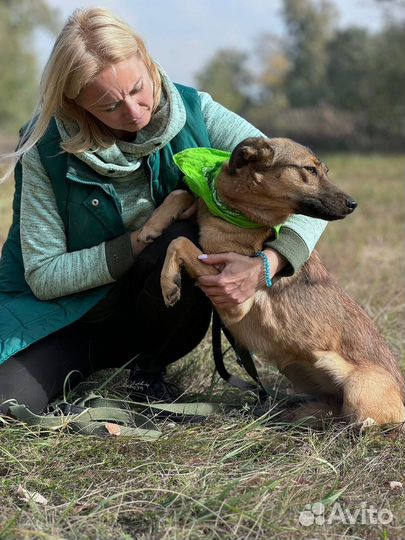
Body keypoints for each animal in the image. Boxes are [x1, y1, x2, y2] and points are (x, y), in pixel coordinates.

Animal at [138, 138, 404, 430]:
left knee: (362, 422)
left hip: (357, 389)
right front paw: (151, 227)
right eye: (310, 170)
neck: (236, 213)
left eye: (323, 171)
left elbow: (180, 242)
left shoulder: (233, 298)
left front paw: (169, 284)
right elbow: (182, 197)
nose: (353, 204)